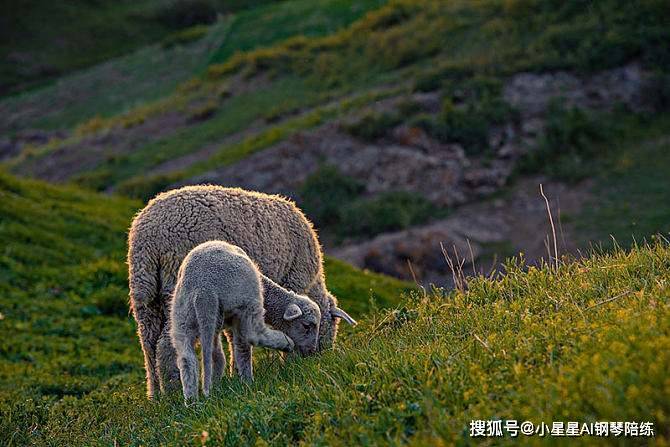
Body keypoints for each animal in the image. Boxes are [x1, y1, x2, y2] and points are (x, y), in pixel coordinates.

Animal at [172, 243, 322, 400]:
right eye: (307, 326)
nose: (312, 351)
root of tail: (203, 290)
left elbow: (228, 349)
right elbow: (241, 347)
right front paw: (244, 379)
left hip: (182, 316)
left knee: (188, 357)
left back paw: (192, 399)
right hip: (248, 302)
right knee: (254, 334)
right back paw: (284, 345)